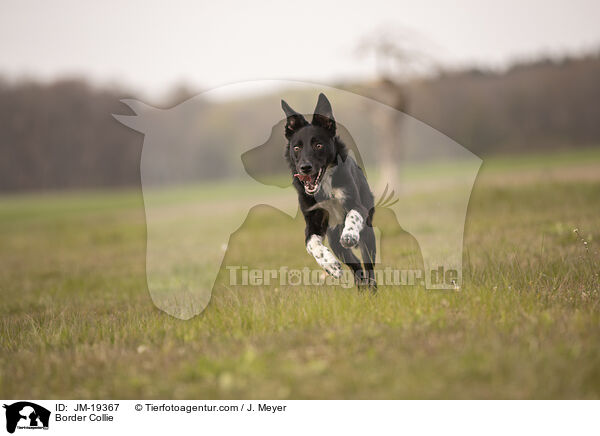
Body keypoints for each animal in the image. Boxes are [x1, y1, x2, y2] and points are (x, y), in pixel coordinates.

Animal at [282, 93, 376, 288]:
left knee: (368, 265)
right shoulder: (313, 221)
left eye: (318, 145)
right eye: (297, 147)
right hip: (335, 242)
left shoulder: (356, 205)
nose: (305, 168)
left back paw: (371, 288)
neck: (324, 185)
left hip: (368, 235)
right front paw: (330, 265)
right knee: (356, 266)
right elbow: (311, 243)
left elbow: (353, 215)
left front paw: (349, 234)